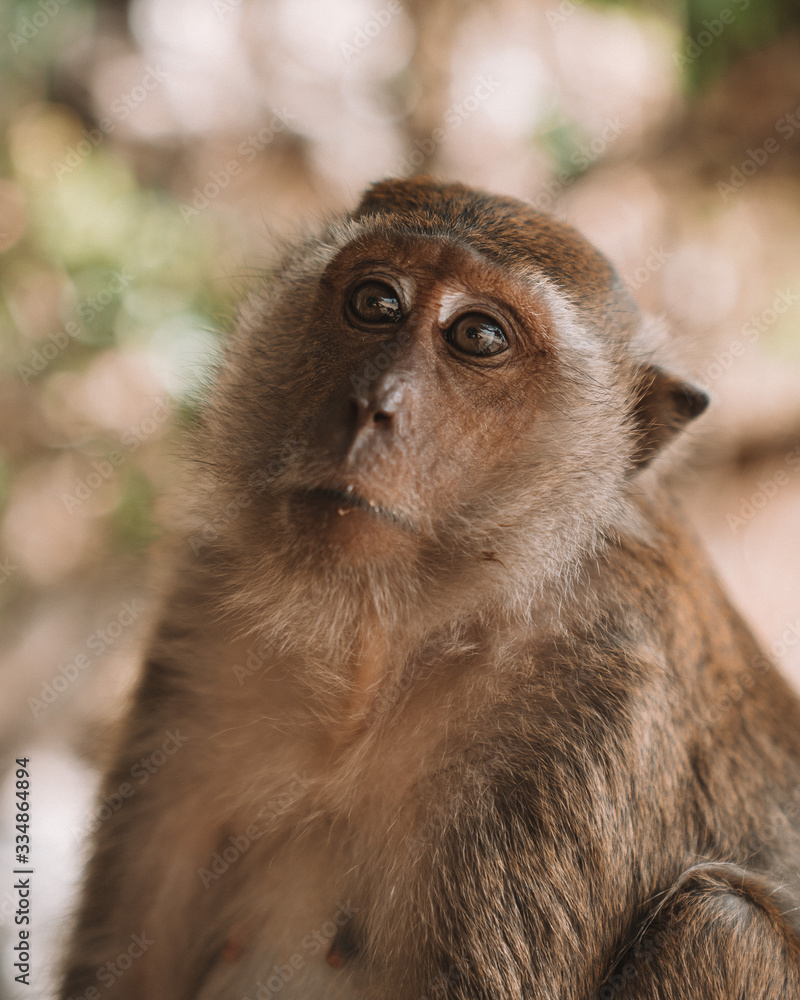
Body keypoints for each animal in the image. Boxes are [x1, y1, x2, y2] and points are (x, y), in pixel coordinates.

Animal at [60, 177, 800, 1000]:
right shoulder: (203, 623)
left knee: (727, 924)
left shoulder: (588, 717)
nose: (371, 406)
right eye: (377, 302)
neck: (377, 655)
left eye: (478, 337)